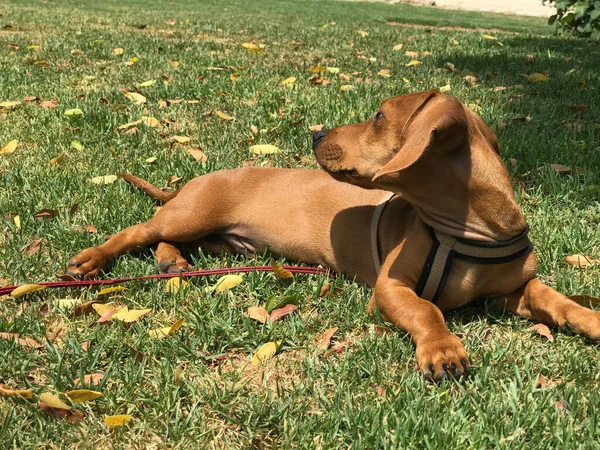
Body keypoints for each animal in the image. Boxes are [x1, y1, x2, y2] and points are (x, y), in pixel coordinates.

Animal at [65, 91, 600, 380]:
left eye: (380, 116)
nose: (316, 134)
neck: (468, 231)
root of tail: (195, 180)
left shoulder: (511, 291)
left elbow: (552, 298)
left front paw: (588, 318)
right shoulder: (389, 289)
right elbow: (426, 309)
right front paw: (442, 348)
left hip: (214, 236)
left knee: (167, 242)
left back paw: (172, 262)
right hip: (191, 214)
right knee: (138, 230)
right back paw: (92, 259)